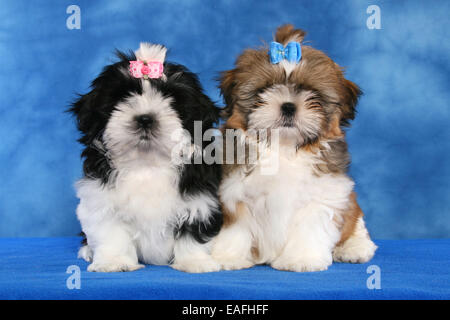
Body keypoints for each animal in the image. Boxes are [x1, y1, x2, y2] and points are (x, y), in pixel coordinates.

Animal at [70, 43, 223, 272]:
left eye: (172, 101)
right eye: (123, 97)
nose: (145, 119)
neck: (147, 163)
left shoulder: (199, 199)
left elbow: (192, 232)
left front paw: (195, 262)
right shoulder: (101, 200)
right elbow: (111, 233)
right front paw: (115, 262)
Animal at [211, 24, 376, 272]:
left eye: (313, 94)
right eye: (264, 90)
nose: (288, 106)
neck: (284, 148)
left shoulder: (323, 194)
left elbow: (310, 227)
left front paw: (301, 259)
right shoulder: (235, 193)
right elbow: (236, 227)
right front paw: (228, 256)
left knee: (355, 222)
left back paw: (354, 248)